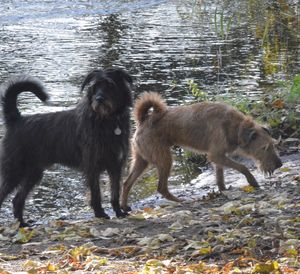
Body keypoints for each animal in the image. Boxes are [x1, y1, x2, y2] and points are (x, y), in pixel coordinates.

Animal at [0, 67, 132, 226]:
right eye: (95, 87)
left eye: (110, 85)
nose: (99, 99)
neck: (107, 121)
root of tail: (16, 119)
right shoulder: (92, 166)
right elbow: (96, 193)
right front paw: (100, 213)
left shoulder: (116, 165)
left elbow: (115, 192)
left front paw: (119, 212)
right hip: (14, 170)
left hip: (33, 172)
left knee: (17, 199)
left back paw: (21, 224)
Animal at [120, 92, 282, 210]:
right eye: (264, 148)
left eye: (273, 145)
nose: (279, 164)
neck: (235, 127)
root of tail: (143, 120)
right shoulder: (216, 155)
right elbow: (242, 166)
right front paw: (252, 181)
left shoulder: (219, 158)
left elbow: (220, 177)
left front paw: (224, 190)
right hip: (164, 159)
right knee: (161, 187)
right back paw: (180, 200)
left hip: (142, 160)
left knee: (127, 183)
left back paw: (124, 207)